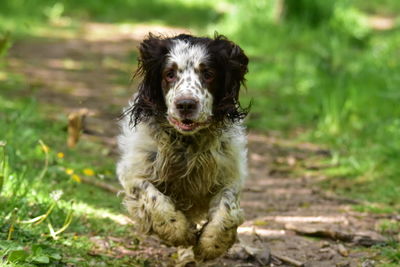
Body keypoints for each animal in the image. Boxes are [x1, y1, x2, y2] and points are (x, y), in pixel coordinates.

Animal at [115, 33, 248, 262]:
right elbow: (153, 196)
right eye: (169, 74)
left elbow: (227, 209)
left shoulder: (229, 174)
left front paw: (212, 243)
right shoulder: (134, 171)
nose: (186, 104)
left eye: (208, 74)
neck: (187, 143)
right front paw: (176, 229)